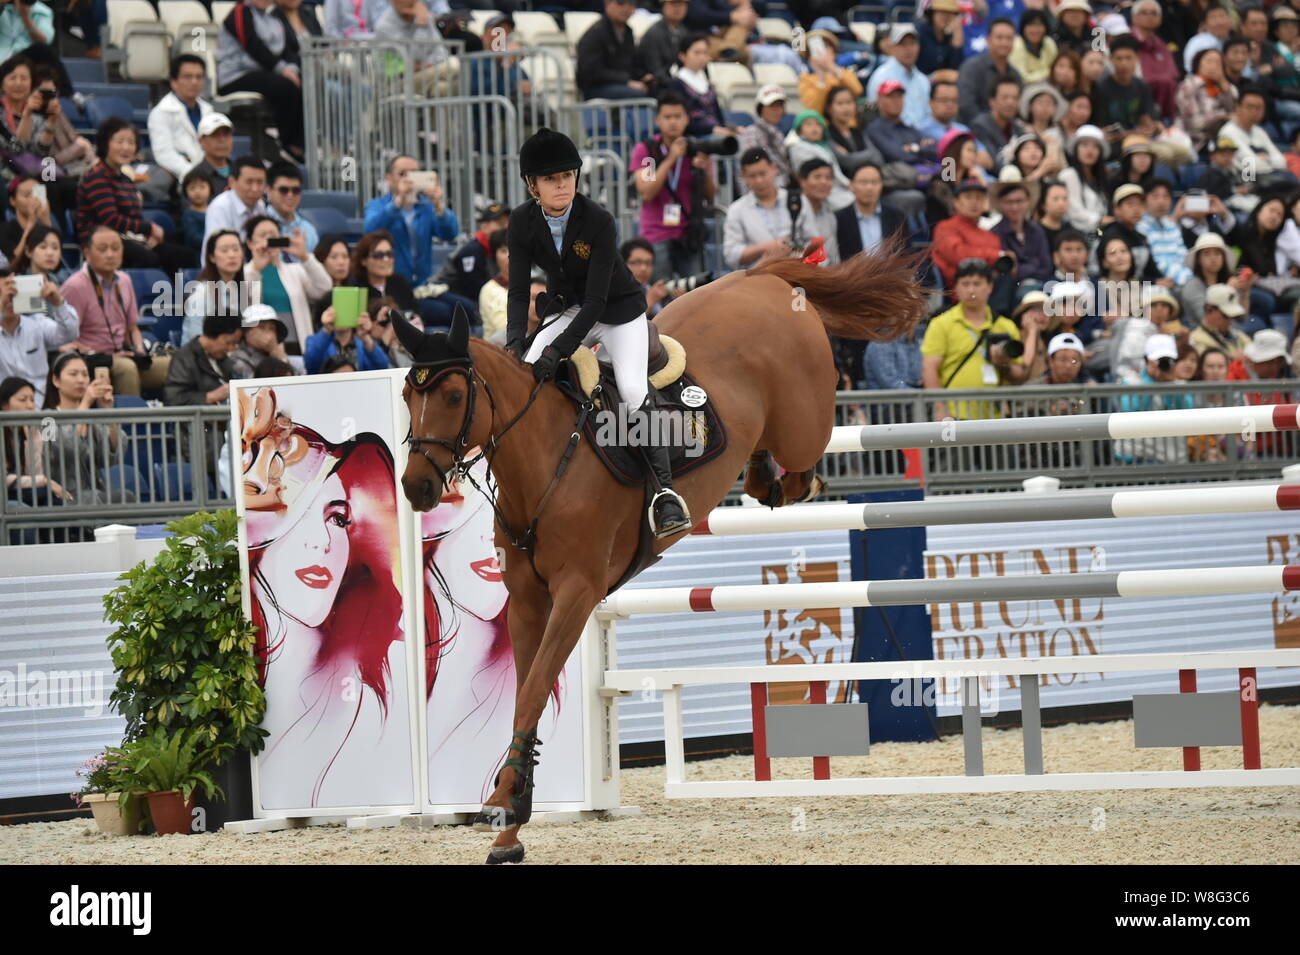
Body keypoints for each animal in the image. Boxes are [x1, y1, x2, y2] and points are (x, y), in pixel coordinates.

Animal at [387, 242, 925, 862]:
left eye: (453, 395)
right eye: (407, 395)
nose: (417, 489)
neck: (545, 459)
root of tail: (761, 279)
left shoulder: (577, 592)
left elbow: (535, 689)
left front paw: (507, 807)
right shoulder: (526, 599)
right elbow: (527, 692)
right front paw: (509, 821)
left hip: (802, 422)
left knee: (801, 457)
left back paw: (786, 482)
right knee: (769, 462)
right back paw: (761, 480)